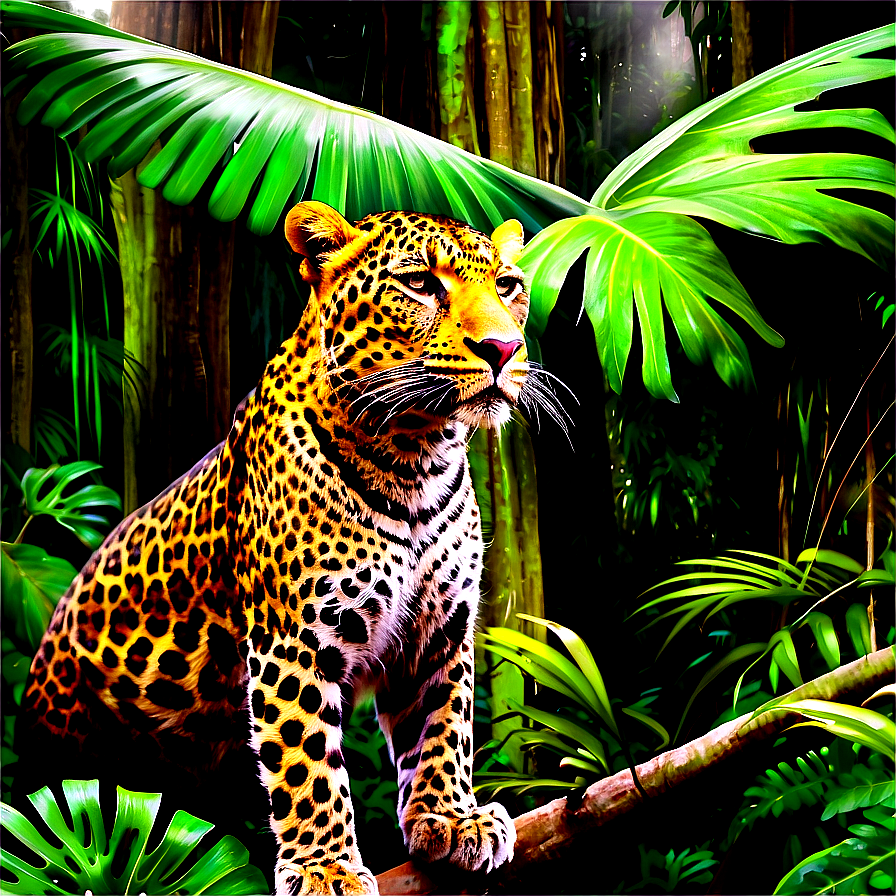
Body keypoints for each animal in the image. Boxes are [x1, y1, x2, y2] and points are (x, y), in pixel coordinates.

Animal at [20, 201, 560, 894]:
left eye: (509, 287)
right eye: (420, 284)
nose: (503, 348)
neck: (417, 459)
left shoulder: (440, 628)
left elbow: (444, 725)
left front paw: (451, 819)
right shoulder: (297, 637)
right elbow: (307, 759)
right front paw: (327, 866)